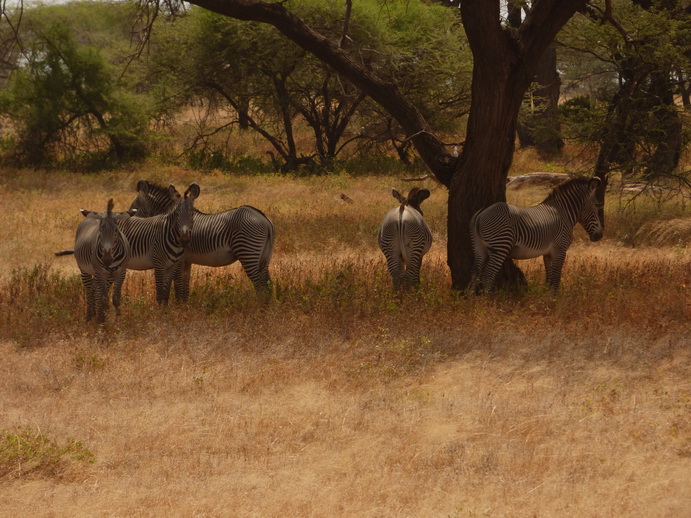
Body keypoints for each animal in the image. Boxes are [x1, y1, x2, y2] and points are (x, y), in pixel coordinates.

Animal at [128, 182, 274, 304]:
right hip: (263, 257)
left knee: (260, 285)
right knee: (267, 284)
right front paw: (184, 305)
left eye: (134, 208)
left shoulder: (179, 261)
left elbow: (177, 284)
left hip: (247, 252)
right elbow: (185, 286)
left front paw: (176, 306)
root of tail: (264, 219)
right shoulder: (186, 261)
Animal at [470, 178, 604, 292]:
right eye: (596, 205)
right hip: (501, 246)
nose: (600, 235)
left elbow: (549, 278)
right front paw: (555, 300)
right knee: (488, 276)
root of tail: (481, 214)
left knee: (475, 273)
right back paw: (487, 300)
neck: (563, 213)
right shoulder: (560, 249)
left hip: (479, 247)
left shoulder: (547, 254)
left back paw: (471, 299)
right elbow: (556, 277)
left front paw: (546, 297)